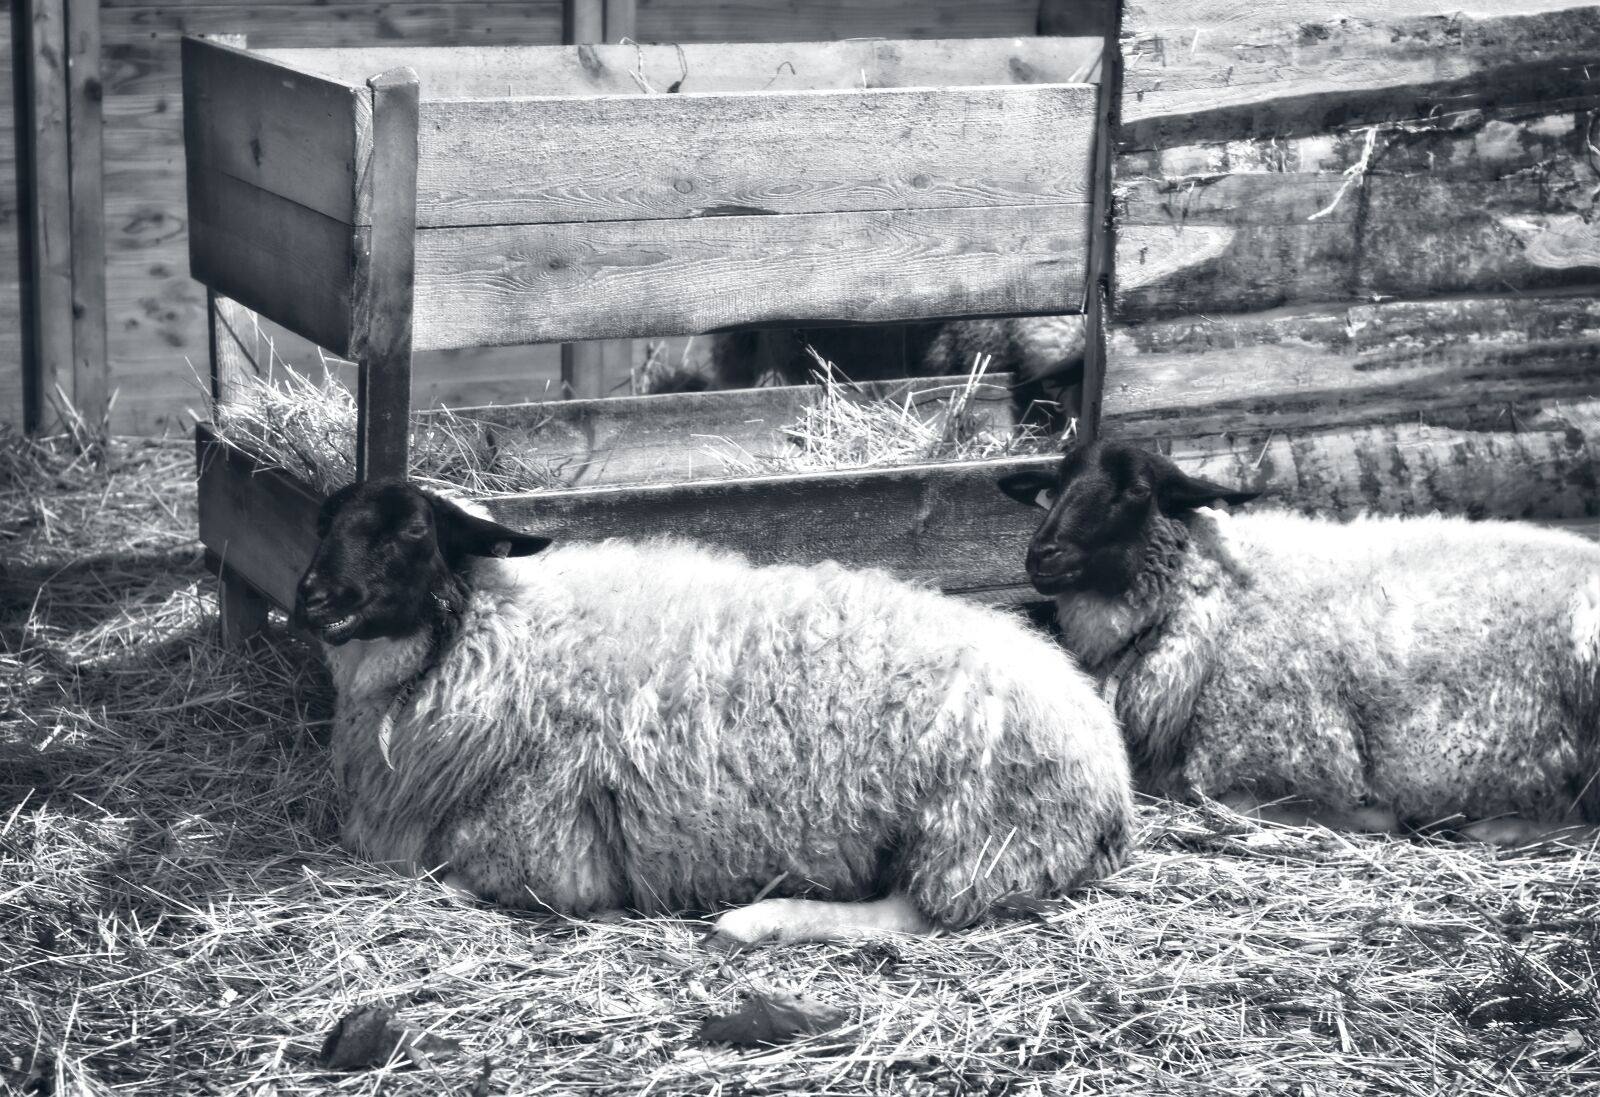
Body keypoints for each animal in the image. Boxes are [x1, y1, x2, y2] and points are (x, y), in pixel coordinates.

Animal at [293, 479, 1134, 945]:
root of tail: (1110, 767)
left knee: (917, 912)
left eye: (411, 530)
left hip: (976, 831)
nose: (314, 597)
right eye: (323, 523)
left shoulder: (544, 851)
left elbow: (454, 880)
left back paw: (755, 923)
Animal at [997, 440, 1600, 843]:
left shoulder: (1281, 754)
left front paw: (1374, 815)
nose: (1042, 555)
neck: (1212, 597)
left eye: (1138, 492)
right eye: (1054, 487)